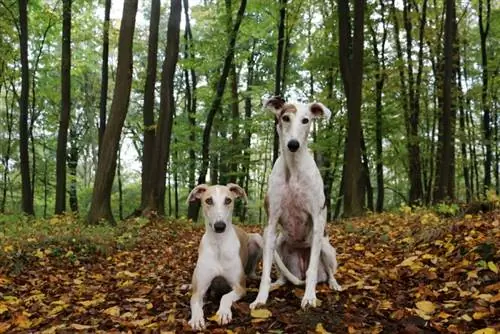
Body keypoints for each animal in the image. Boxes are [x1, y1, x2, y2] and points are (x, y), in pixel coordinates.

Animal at [188, 184, 264, 330]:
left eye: (228, 200)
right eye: (208, 200)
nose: (220, 226)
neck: (219, 244)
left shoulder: (240, 287)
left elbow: (225, 296)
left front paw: (223, 312)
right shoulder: (198, 291)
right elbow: (194, 302)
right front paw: (196, 319)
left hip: (258, 239)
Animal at [249, 94, 340, 310]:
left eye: (306, 120)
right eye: (285, 118)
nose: (293, 144)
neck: (293, 169)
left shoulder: (317, 220)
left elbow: (313, 269)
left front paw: (309, 297)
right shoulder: (271, 224)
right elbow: (265, 272)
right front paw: (260, 298)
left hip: (326, 248)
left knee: (328, 272)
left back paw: (333, 284)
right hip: (279, 244)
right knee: (284, 275)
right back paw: (278, 283)